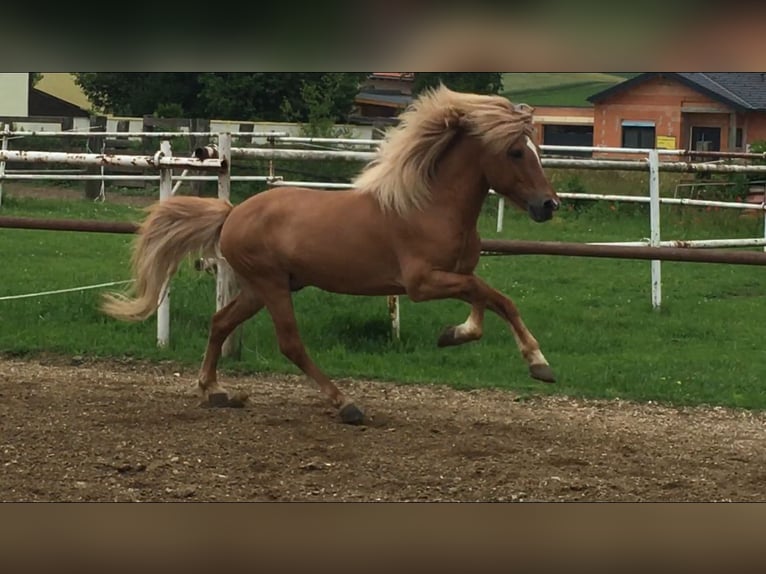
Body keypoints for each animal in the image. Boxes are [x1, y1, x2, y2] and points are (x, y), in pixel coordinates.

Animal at [102, 86, 560, 428]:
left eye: (537, 151)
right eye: (516, 153)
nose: (549, 206)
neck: (428, 206)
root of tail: (232, 214)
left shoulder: (453, 275)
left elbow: (486, 300)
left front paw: (458, 335)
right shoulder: (422, 283)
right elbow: (496, 297)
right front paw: (536, 363)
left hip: (261, 288)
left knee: (220, 323)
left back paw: (214, 391)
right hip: (271, 285)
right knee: (290, 343)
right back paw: (346, 404)